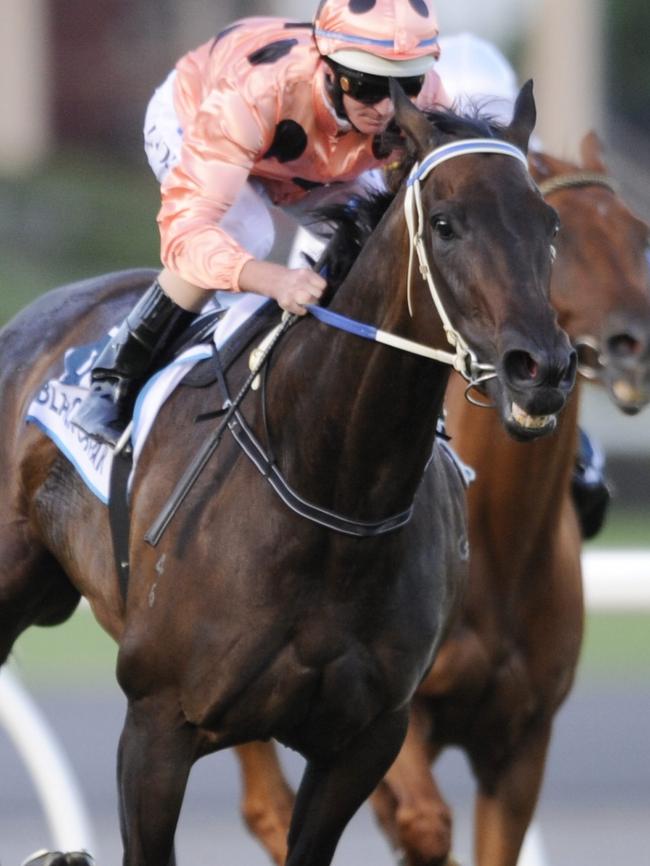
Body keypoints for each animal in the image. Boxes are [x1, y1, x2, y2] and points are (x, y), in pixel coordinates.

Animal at [0, 82, 572, 864]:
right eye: (446, 224)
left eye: (548, 224)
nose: (540, 368)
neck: (334, 492)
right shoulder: (156, 725)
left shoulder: (366, 742)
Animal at [235, 135, 648, 864]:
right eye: (570, 238)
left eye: (640, 236)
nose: (635, 344)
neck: (501, 543)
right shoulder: (395, 714)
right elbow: (421, 824)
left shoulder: (523, 740)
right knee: (265, 804)